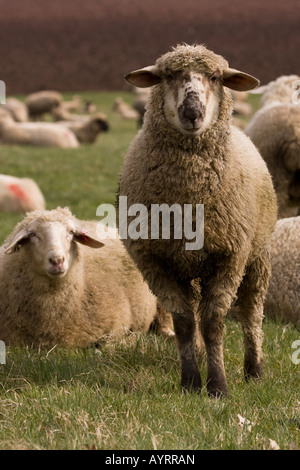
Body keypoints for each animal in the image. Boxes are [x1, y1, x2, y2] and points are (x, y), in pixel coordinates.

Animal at [118, 43, 278, 396]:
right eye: (168, 76)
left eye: (216, 77)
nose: (192, 113)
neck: (189, 197)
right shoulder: (156, 261)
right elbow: (184, 322)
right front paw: (191, 381)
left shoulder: (229, 256)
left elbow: (213, 322)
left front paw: (217, 386)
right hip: (189, 267)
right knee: (194, 312)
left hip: (256, 257)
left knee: (251, 315)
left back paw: (255, 369)